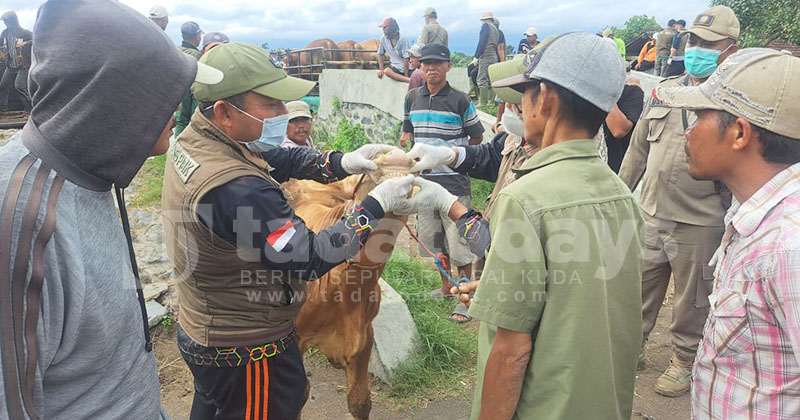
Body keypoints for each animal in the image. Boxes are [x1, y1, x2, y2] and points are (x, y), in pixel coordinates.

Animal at [290, 148, 412, 420]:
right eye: (367, 176)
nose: (397, 156)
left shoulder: (366, 334)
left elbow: (360, 402)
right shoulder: (295, 338)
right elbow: (297, 395)